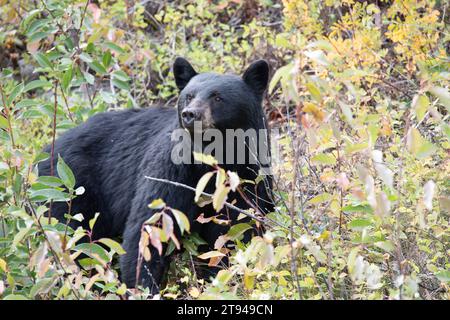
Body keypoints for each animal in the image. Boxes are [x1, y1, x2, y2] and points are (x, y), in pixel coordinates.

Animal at [37, 58, 274, 296]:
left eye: (218, 97)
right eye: (189, 96)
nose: (189, 114)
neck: (211, 160)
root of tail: (46, 151)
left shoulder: (249, 177)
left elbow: (235, 233)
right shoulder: (171, 173)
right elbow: (148, 230)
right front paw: (143, 288)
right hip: (69, 193)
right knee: (77, 241)